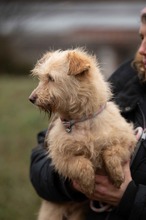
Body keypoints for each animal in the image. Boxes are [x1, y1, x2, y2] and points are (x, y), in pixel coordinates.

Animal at [29, 48, 137, 220]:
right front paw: (88, 184)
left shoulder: (127, 140)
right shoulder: (61, 158)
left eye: (51, 78)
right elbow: (81, 164)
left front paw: (117, 176)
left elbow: (111, 153)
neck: (81, 120)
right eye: (41, 78)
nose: (31, 98)